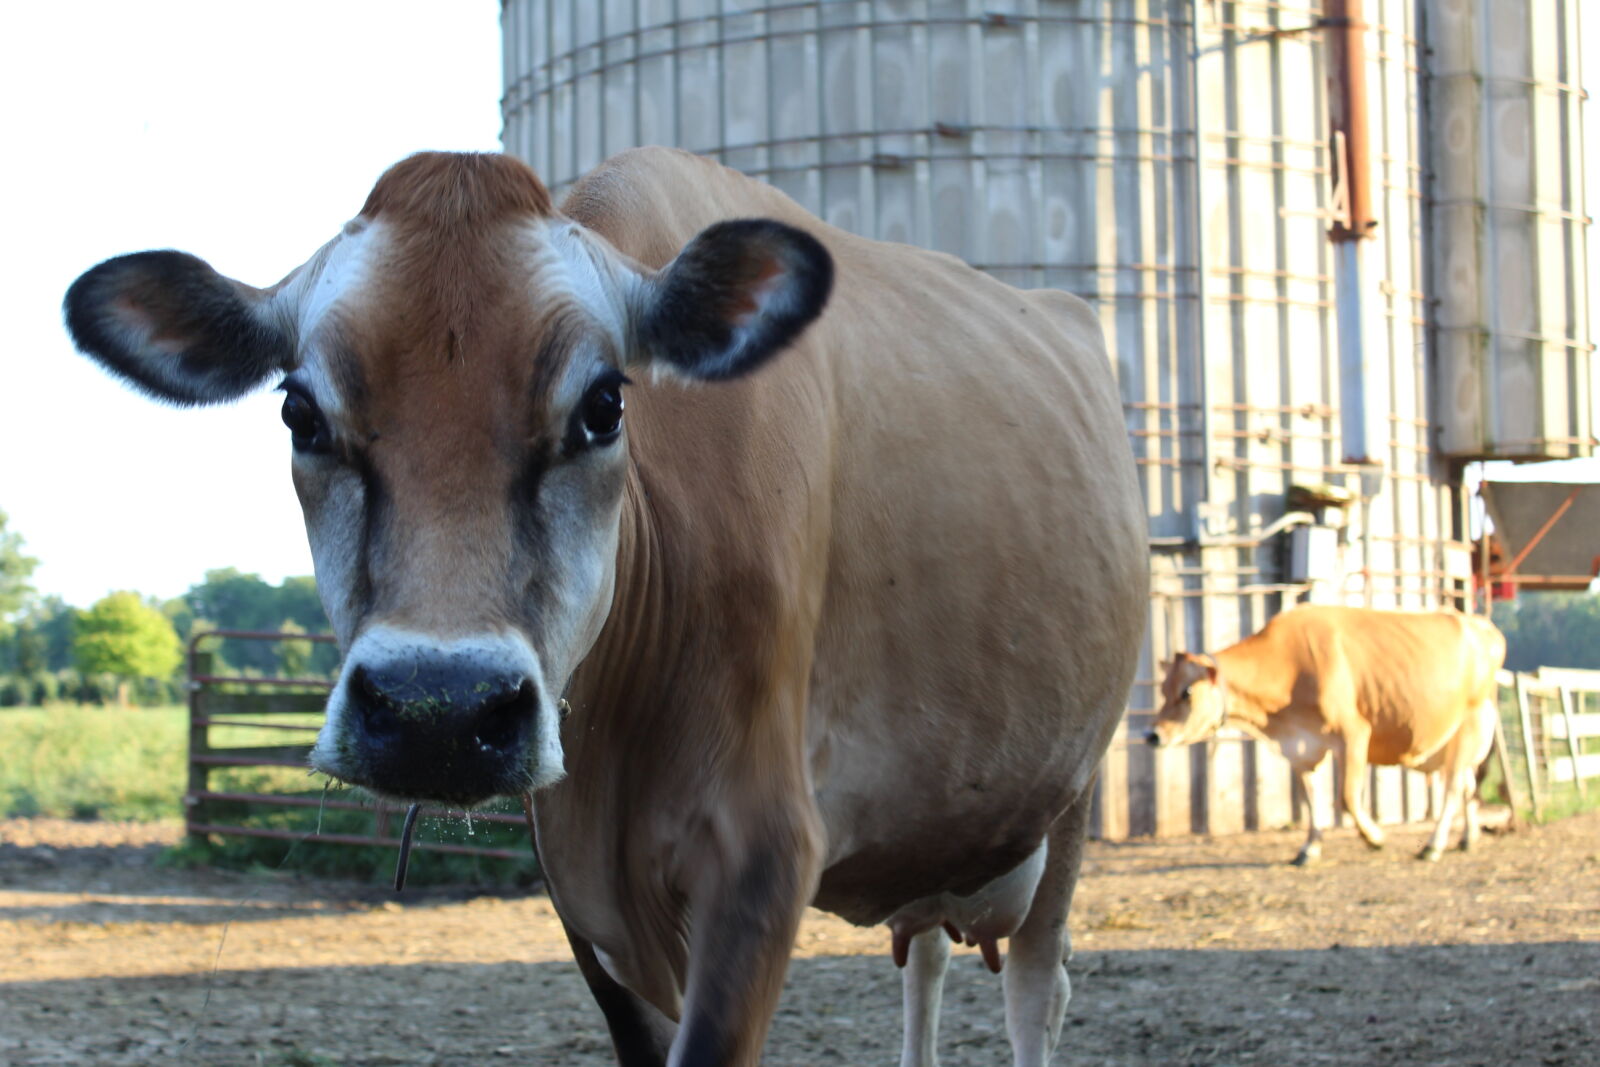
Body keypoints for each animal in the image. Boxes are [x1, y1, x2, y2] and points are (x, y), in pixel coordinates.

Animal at [63, 147, 1147, 1066]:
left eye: (604, 405)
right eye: (300, 411)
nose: (437, 711)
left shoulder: (763, 852)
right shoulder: (586, 893)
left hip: (1071, 791)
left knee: (1036, 987)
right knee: (924, 955)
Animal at [1146, 605, 1506, 865]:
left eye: (1187, 692)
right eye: (1163, 689)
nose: (1153, 735)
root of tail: (1479, 624)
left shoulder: (1353, 732)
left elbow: (1346, 796)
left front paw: (1375, 837)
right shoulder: (1301, 747)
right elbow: (1311, 797)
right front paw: (1310, 847)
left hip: (1471, 723)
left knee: (1453, 786)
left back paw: (1434, 845)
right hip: (1451, 740)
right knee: (1467, 784)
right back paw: (1468, 838)